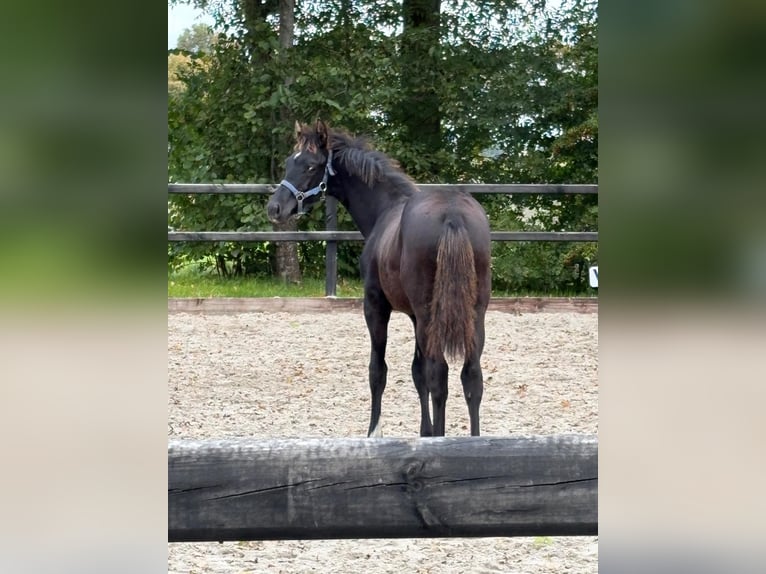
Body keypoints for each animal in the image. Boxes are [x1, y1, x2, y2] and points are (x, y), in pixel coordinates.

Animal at [267, 120, 492, 437]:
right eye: (290, 162)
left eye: (310, 166)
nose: (274, 208)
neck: (386, 208)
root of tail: (453, 215)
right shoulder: (413, 316)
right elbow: (417, 372)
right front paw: (424, 431)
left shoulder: (375, 306)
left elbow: (379, 371)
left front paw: (374, 431)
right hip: (475, 313)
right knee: (471, 377)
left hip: (429, 315)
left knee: (440, 375)